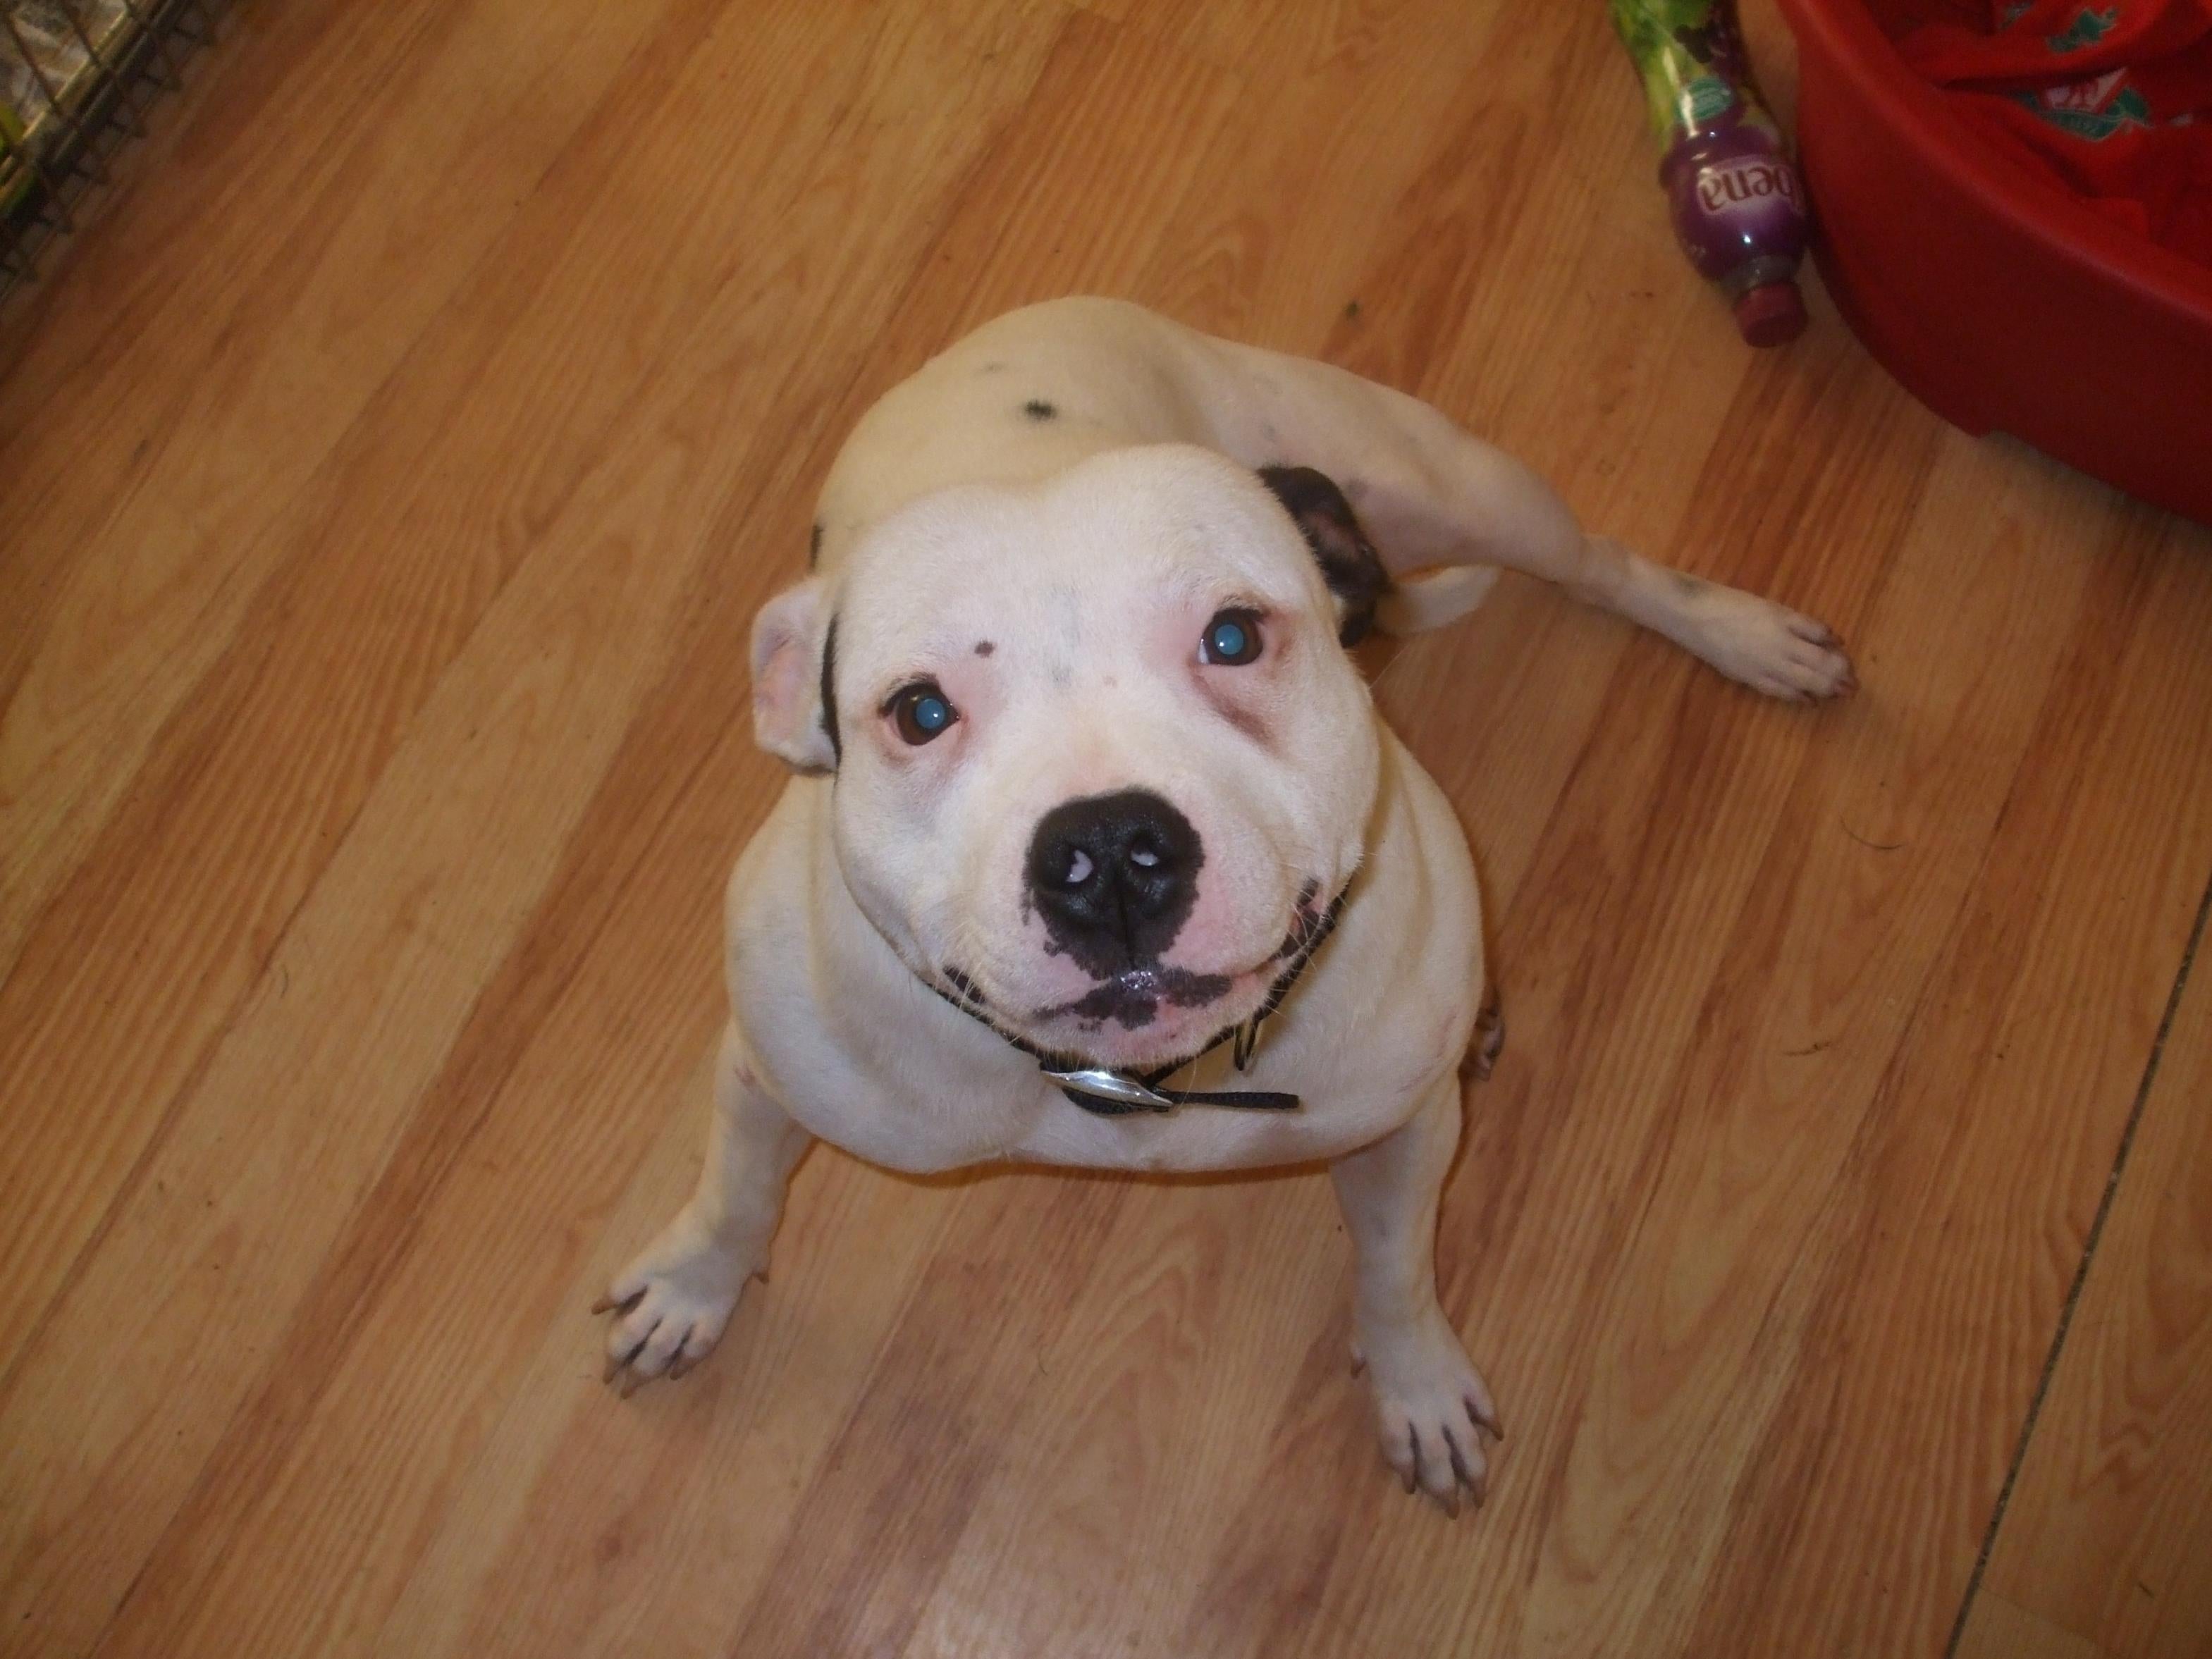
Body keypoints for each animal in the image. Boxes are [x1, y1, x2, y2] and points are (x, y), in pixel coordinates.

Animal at [597, 298, 1857, 1522]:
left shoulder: (1404, 1127)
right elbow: (735, 1188)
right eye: (918, 711)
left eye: (1234, 636)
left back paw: (1744, 635)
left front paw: (1415, 1383)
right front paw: (690, 1285)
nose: (1107, 850)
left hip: (1460, 487)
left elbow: (1397, 1270)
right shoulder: (768, 1066)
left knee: (1601, 561)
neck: (1146, 1082)